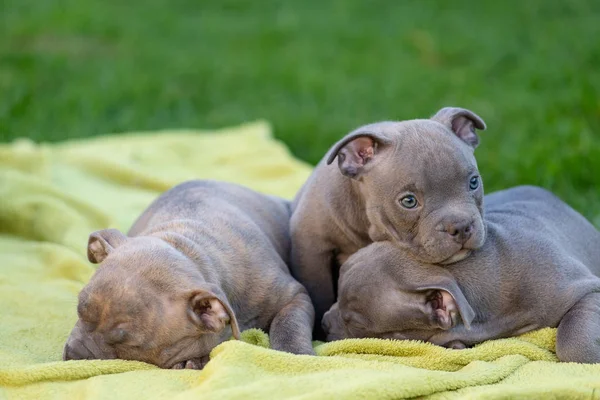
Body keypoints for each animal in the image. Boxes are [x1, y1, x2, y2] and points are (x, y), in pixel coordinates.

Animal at [63, 180, 316, 368]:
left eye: (126, 344)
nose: (73, 356)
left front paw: (294, 355)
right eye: (79, 311)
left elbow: (288, 324)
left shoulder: (295, 296)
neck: (189, 249)